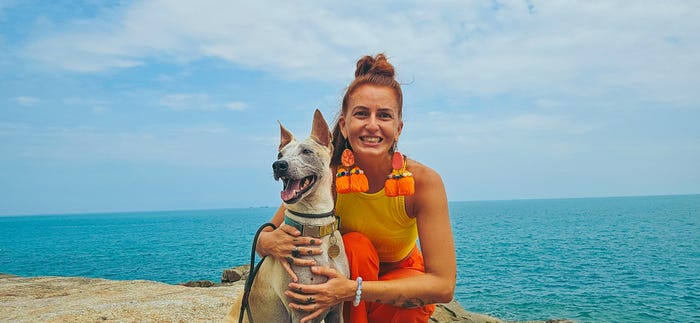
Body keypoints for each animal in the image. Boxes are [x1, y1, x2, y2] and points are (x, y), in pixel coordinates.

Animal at [226, 109, 348, 323]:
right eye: (279, 154)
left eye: (307, 152)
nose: (278, 165)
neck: (314, 223)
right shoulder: (300, 311)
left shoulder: (336, 307)